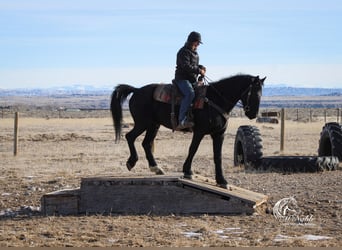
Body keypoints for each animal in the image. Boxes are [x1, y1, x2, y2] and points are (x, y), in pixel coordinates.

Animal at [109, 74, 264, 188]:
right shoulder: (199, 132)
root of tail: (136, 90)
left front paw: (222, 181)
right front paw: (188, 171)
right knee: (130, 137)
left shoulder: (219, 134)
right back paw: (132, 162)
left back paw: (156, 168)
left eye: (261, 94)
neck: (215, 100)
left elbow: (217, 156)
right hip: (143, 123)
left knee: (146, 143)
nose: (253, 114)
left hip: (154, 125)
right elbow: (193, 149)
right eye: (254, 93)